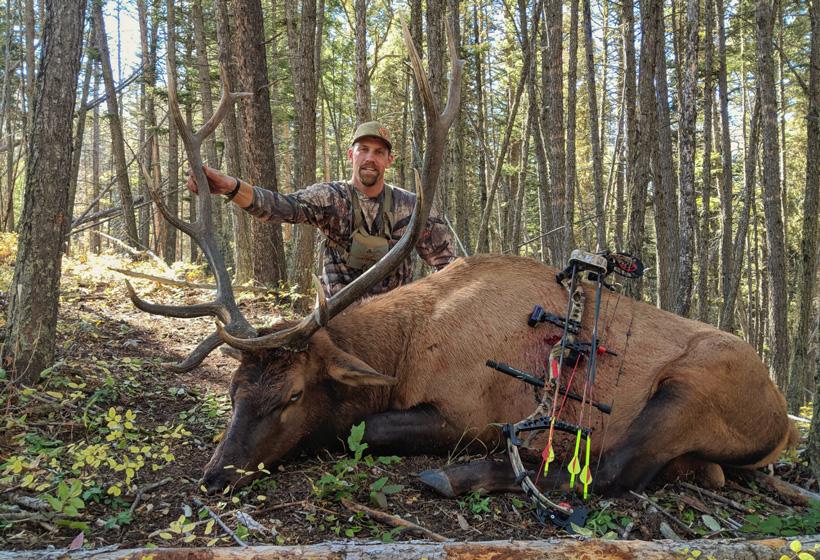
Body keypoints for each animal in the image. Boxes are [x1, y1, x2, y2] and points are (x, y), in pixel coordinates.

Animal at [127, 19, 797, 503]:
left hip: (693, 387)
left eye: (291, 396)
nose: (216, 475)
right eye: (234, 389)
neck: (404, 349)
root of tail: (785, 420)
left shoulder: (470, 411)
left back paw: (464, 476)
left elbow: (360, 427)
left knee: (613, 470)